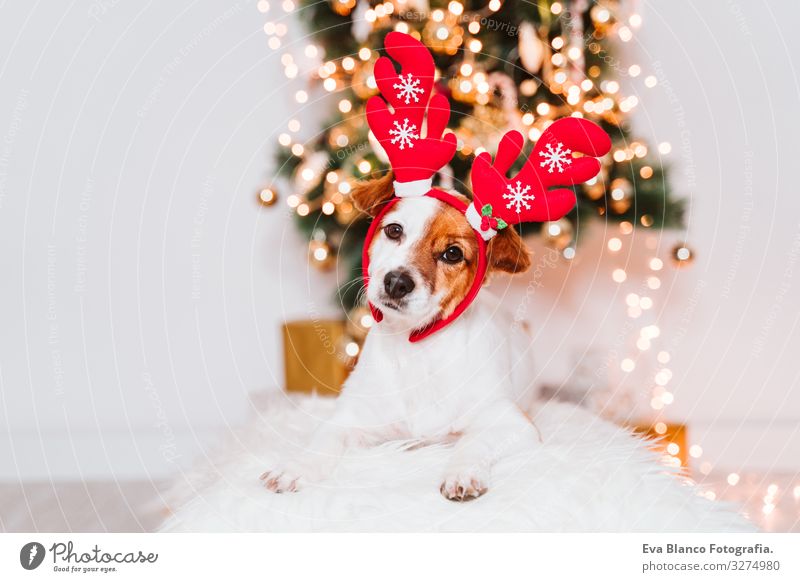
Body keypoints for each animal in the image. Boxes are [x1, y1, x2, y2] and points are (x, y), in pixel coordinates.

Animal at [260, 172, 540, 502]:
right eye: (394, 230)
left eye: (453, 253)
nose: (396, 282)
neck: (414, 351)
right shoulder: (349, 418)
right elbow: (321, 441)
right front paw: (295, 466)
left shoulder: (511, 423)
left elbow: (471, 442)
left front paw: (461, 472)